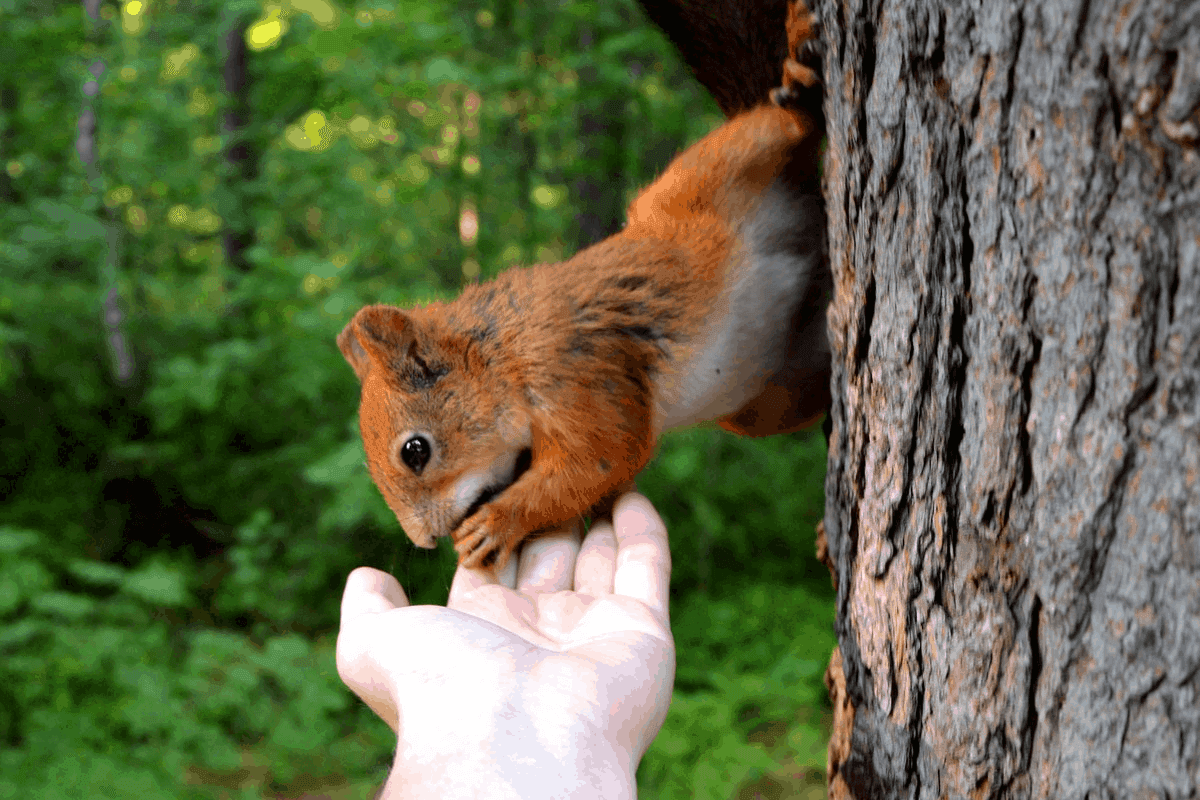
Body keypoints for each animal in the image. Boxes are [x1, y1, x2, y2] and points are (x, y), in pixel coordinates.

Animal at [338, 0, 828, 570]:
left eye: (415, 451)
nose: (425, 541)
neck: (505, 353)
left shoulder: (574, 368)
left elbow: (600, 456)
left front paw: (498, 523)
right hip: (767, 401)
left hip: (713, 171)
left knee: (782, 125)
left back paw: (797, 74)